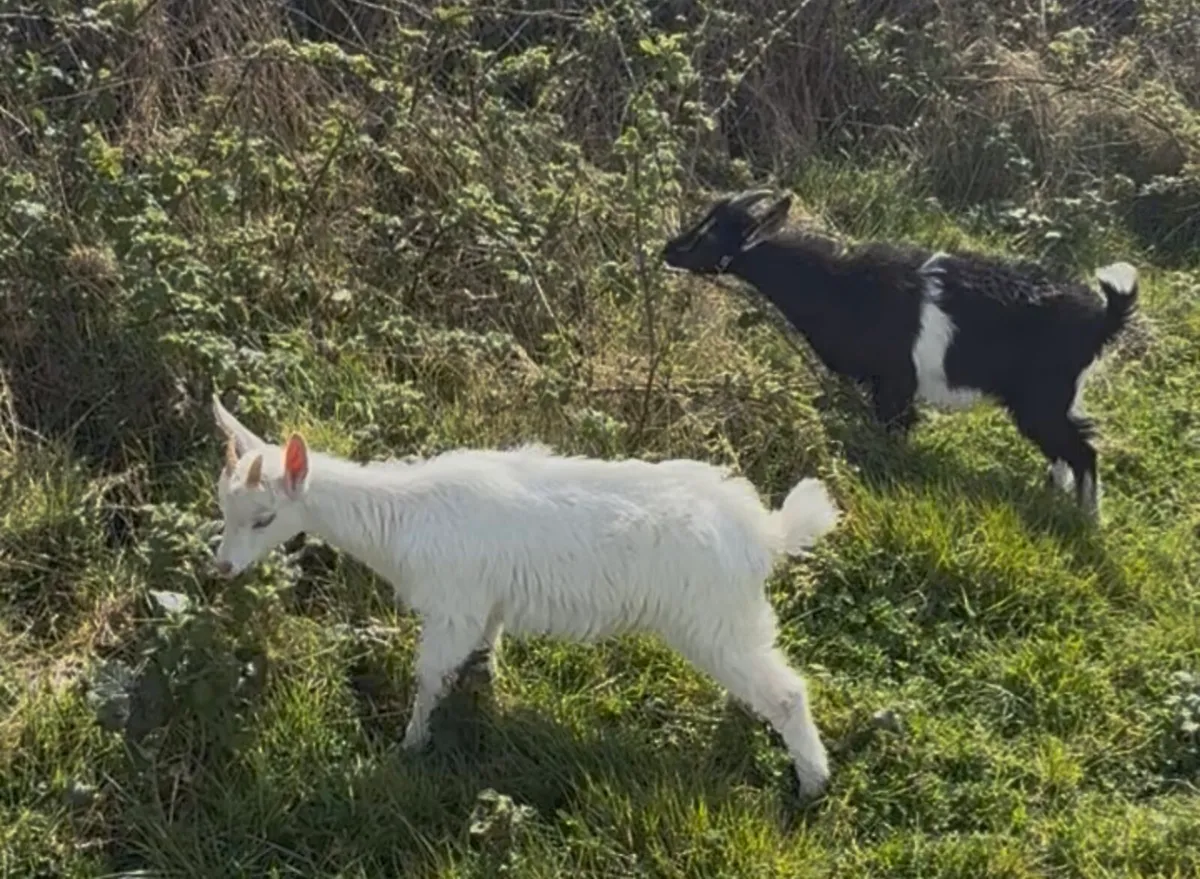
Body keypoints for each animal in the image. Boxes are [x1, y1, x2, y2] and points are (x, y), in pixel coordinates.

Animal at [210, 394, 843, 797]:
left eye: (264, 518)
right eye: (223, 506)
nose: (222, 568)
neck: (402, 516)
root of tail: (764, 534)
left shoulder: (454, 604)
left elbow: (429, 678)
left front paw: (409, 748)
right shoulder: (485, 603)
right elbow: (484, 651)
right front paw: (483, 691)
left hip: (712, 616)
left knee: (788, 693)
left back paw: (812, 785)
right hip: (730, 620)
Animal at [661, 188, 1140, 520]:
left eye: (709, 236)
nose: (667, 249)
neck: (839, 285)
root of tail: (1102, 319)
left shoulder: (893, 385)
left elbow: (893, 433)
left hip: (1041, 400)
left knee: (1083, 451)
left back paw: (1087, 519)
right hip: (1057, 401)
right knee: (1066, 449)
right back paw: (1055, 495)